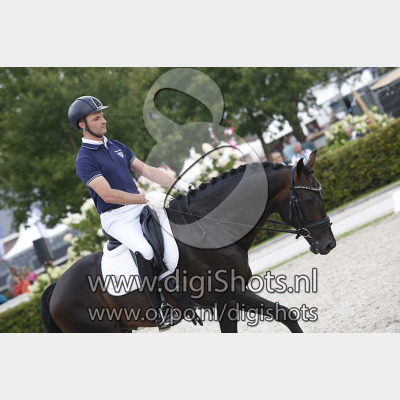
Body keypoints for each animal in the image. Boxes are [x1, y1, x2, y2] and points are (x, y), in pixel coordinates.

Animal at [41, 151, 336, 333]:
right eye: (307, 200)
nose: (328, 245)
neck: (214, 227)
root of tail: (57, 287)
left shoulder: (226, 303)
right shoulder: (229, 293)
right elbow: (287, 315)